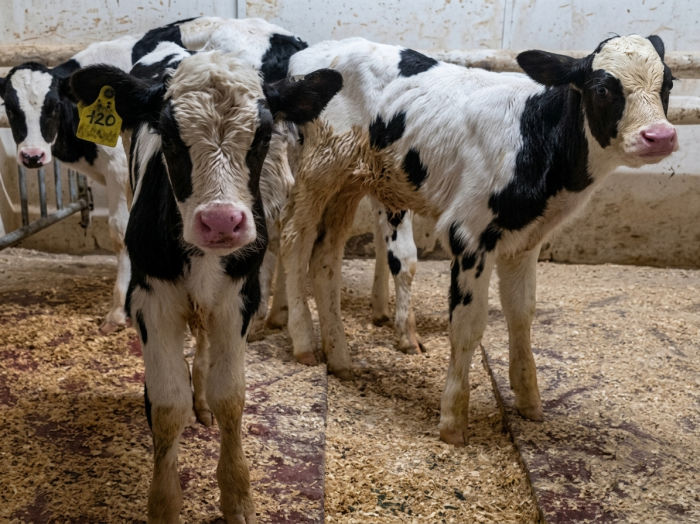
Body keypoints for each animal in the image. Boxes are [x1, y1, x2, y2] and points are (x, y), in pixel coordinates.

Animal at [71, 49, 342, 522]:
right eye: (168, 136)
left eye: (263, 135)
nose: (220, 221)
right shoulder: (151, 300)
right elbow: (166, 404)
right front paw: (164, 503)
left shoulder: (239, 298)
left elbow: (229, 395)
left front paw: (238, 498)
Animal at [280, 34, 678, 446]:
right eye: (602, 88)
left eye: (668, 84)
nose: (660, 136)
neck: (533, 136)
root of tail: (313, 52)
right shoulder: (469, 235)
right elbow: (468, 326)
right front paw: (453, 421)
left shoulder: (524, 243)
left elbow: (522, 313)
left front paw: (529, 399)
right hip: (317, 169)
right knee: (294, 237)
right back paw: (305, 342)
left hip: (349, 182)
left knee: (325, 256)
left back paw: (340, 358)